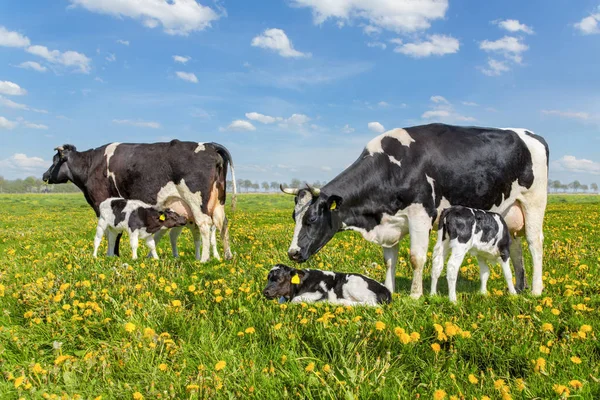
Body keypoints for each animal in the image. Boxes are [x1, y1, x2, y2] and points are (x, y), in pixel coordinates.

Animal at [41, 139, 237, 260]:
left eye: (54, 160)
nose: (45, 175)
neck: (90, 165)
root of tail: (210, 145)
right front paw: (115, 255)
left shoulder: (103, 203)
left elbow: (111, 232)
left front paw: (112, 255)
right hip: (218, 202)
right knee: (223, 224)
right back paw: (227, 256)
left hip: (197, 202)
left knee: (205, 225)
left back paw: (204, 259)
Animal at [264, 262, 394, 306]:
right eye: (268, 278)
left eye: (279, 278)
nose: (265, 291)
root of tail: (386, 290)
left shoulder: (320, 292)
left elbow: (296, 300)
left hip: (352, 285)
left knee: (371, 304)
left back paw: (342, 302)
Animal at [282, 123, 548, 298]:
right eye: (295, 216)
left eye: (312, 218)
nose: (293, 253)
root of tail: (531, 134)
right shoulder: (389, 222)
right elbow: (389, 260)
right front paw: (389, 289)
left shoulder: (420, 214)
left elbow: (416, 258)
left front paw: (415, 295)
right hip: (510, 212)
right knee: (516, 247)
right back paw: (519, 288)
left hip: (534, 202)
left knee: (535, 244)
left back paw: (536, 290)